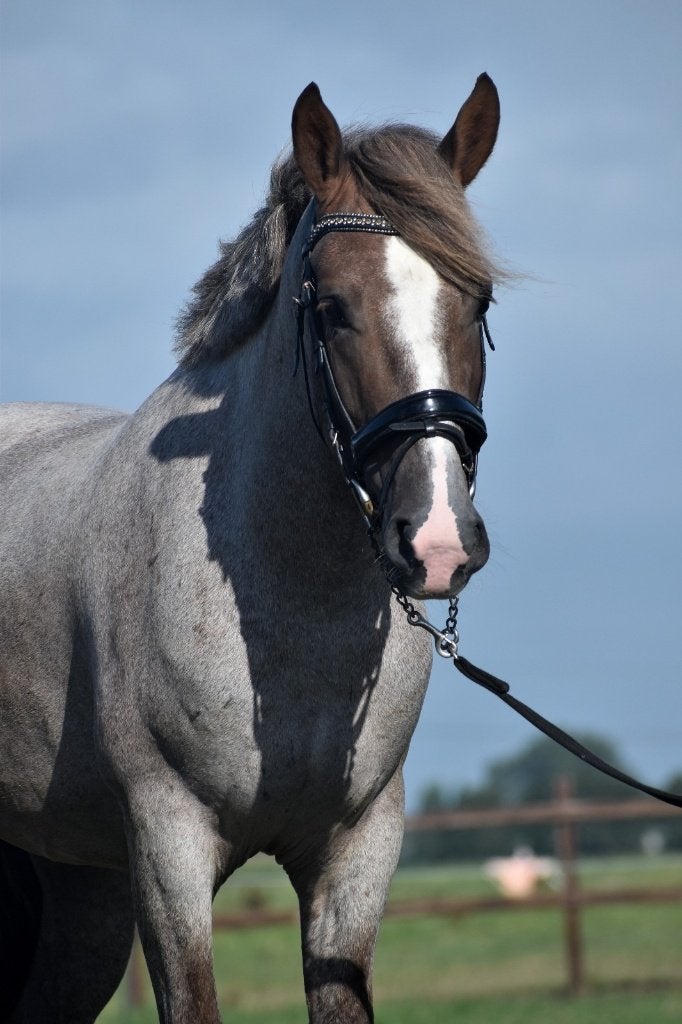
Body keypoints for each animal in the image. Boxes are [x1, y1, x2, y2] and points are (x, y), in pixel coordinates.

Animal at [0, 75, 503, 1023]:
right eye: (332, 307)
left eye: (480, 299)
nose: (437, 540)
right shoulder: (169, 853)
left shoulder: (356, 856)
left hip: (78, 896)